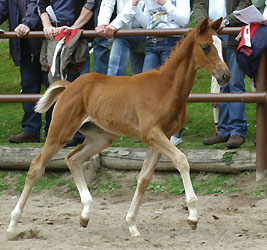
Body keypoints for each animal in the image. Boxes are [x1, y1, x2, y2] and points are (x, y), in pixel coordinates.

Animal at [7, 18, 231, 238]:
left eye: (221, 44)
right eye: (205, 47)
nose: (225, 75)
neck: (165, 89)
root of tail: (70, 86)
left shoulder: (160, 137)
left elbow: (144, 178)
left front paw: (132, 224)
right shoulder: (151, 134)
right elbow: (182, 160)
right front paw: (193, 216)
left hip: (101, 138)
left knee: (73, 159)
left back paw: (85, 214)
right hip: (60, 131)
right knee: (37, 167)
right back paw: (13, 224)